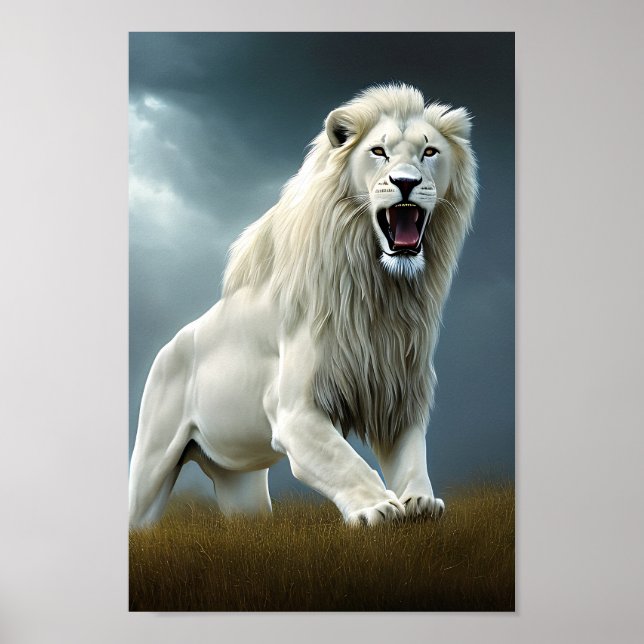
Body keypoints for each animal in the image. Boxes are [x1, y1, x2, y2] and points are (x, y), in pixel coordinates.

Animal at [129, 83, 478, 527]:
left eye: (429, 151)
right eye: (378, 152)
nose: (405, 182)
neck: (381, 294)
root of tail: (167, 346)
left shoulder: (398, 395)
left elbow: (413, 457)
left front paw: (420, 502)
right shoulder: (295, 412)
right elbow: (346, 461)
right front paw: (377, 508)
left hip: (241, 482)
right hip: (151, 465)